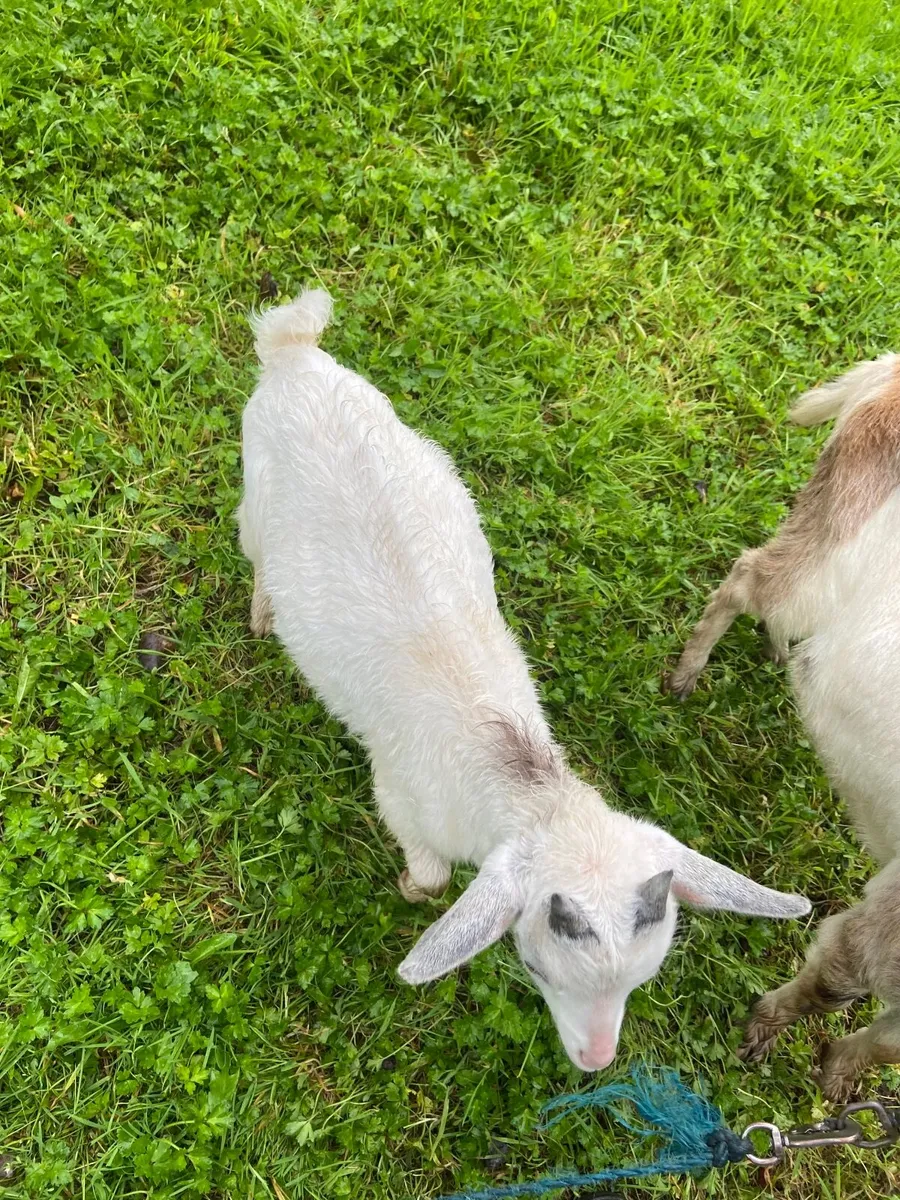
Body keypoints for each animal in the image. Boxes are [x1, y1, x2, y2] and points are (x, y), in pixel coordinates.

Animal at [238, 288, 809, 1071]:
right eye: (535, 966)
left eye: (643, 979)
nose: (595, 1061)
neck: (523, 780)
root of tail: (292, 352)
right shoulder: (399, 798)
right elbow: (434, 878)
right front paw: (409, 890)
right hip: (253, 491)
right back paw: (264, 611)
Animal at [667, 355, 900, 1099]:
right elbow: (836, 981)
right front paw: (762, 1034)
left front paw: (836, 1076)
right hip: (836, 546)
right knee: (752, 577)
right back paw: (688, 673)